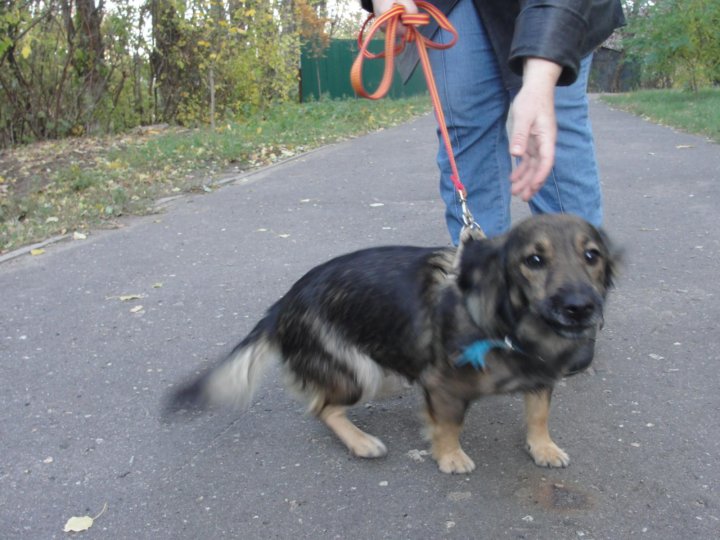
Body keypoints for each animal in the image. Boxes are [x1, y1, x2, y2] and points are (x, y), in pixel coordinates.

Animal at [162, 213, 620, 474]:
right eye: (534, 261)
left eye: (592, 256)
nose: (580, 308)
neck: (507, 319)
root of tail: (282, 304)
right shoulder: (441, 385)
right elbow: (449, 425)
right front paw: (449, 457)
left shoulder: (540, 377)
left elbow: (539, 415)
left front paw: (543, 448)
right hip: (365, 372)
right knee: (322, 407)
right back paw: (361, 442)